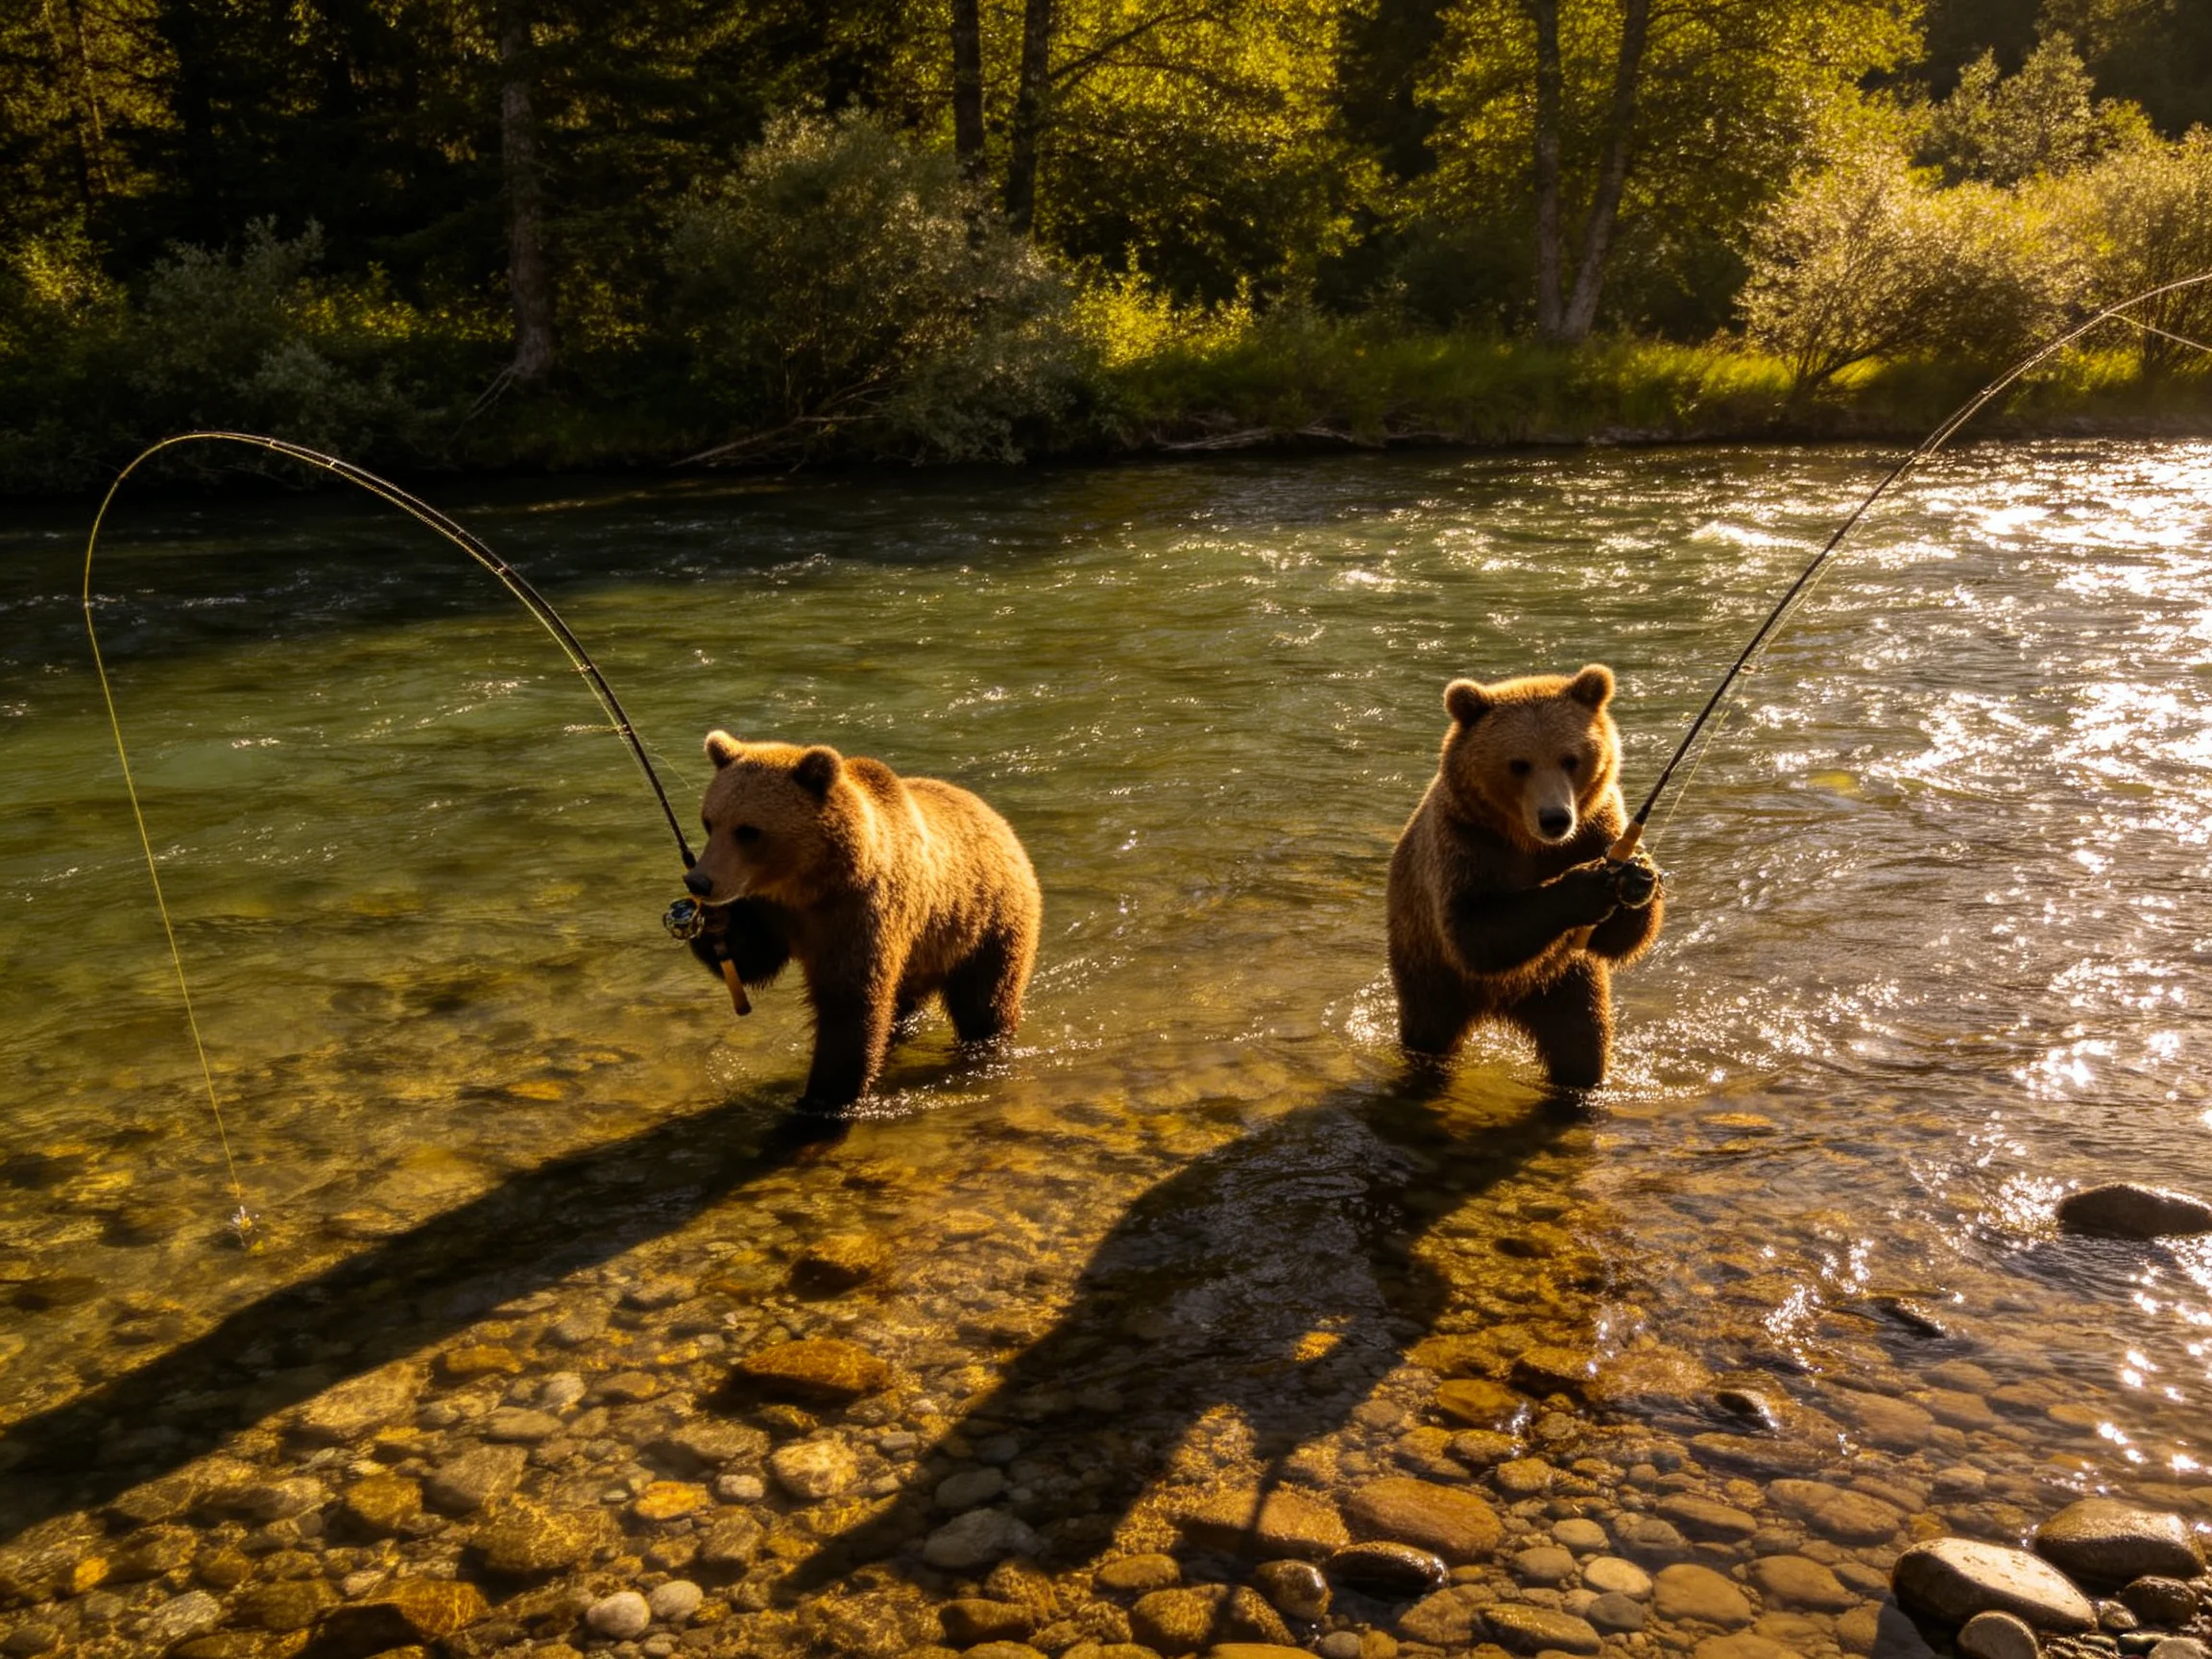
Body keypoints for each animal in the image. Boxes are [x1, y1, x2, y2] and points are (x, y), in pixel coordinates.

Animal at [681, 731, 1042, 1109]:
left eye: (748, 830)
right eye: (710, 821)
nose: (699, 881)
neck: (810, 883)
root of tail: (997, 819)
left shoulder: (861, 911)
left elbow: (850, 1003)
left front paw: (821, 1098)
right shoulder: (771, 909)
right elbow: (752, 960)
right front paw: (713, 924)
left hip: (988, 922)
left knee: (985, 1002)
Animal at [1386, 664, 1663, 1090]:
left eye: (1570, 759)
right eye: (1519, 763)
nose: (1555, 818)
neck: (1528, 841)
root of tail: (1500, 1009)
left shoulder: (1597, 826)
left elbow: (1619, 939)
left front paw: (1637, 874)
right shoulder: (1467, 842)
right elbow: (1474, 928)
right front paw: (1583, 887)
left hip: (1565, 983)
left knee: (1581, 1044)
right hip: (1429, 968)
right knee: (1429, 1028)